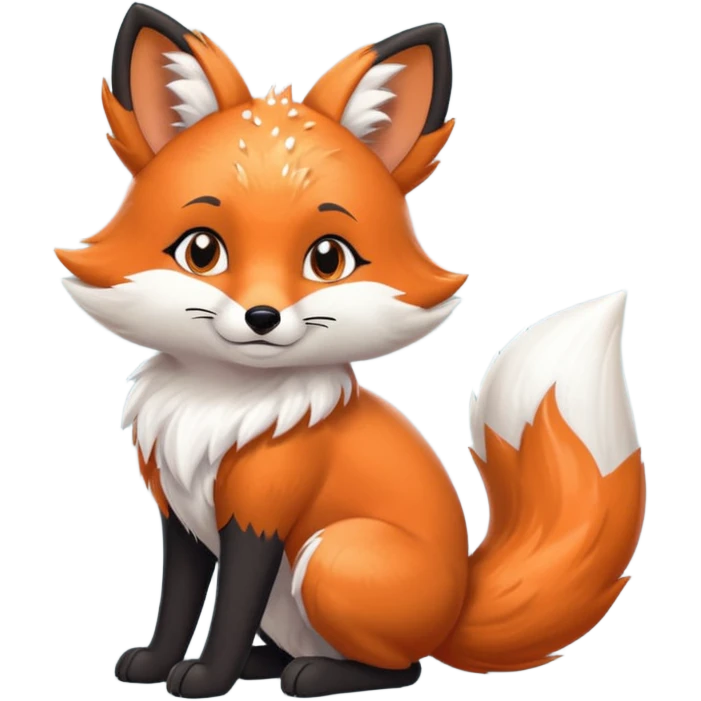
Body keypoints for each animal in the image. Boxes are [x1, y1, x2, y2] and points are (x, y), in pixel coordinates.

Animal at [55, 3, 646, 699]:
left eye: (327, 259)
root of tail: (458, 607)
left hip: (334, 556)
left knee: (402, 668)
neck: (218, 407)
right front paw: (155, 662)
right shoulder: (180, 513)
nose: (262, 318)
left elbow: (229, 611)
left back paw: (313, 676)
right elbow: (177, 603)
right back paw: (267, 666)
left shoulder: (259, 512)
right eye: (202, 251)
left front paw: (206, 677)